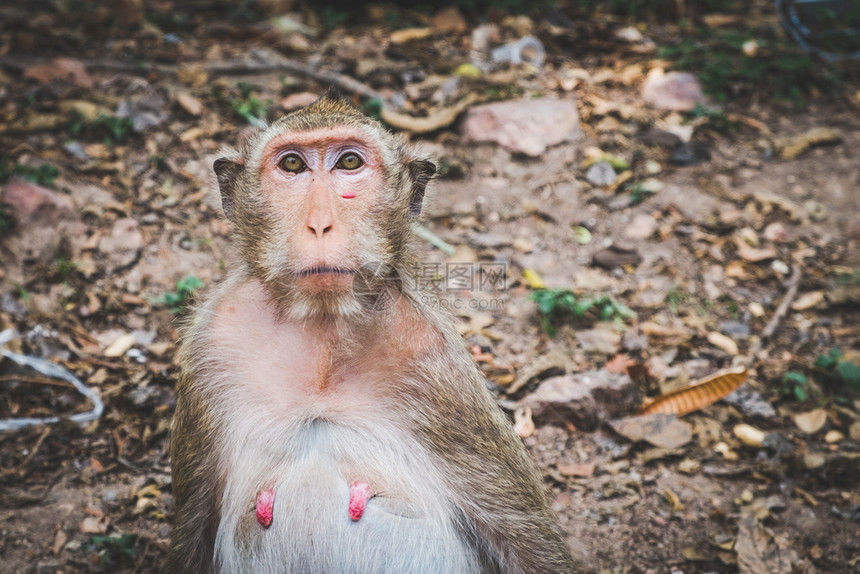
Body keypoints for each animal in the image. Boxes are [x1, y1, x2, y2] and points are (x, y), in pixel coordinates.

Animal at [167, 92, 576, 572]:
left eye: (348, 162)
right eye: (292, 165)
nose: (320, 224)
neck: (323, 332)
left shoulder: (437, 366)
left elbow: (526, 540)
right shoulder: (211, 349)